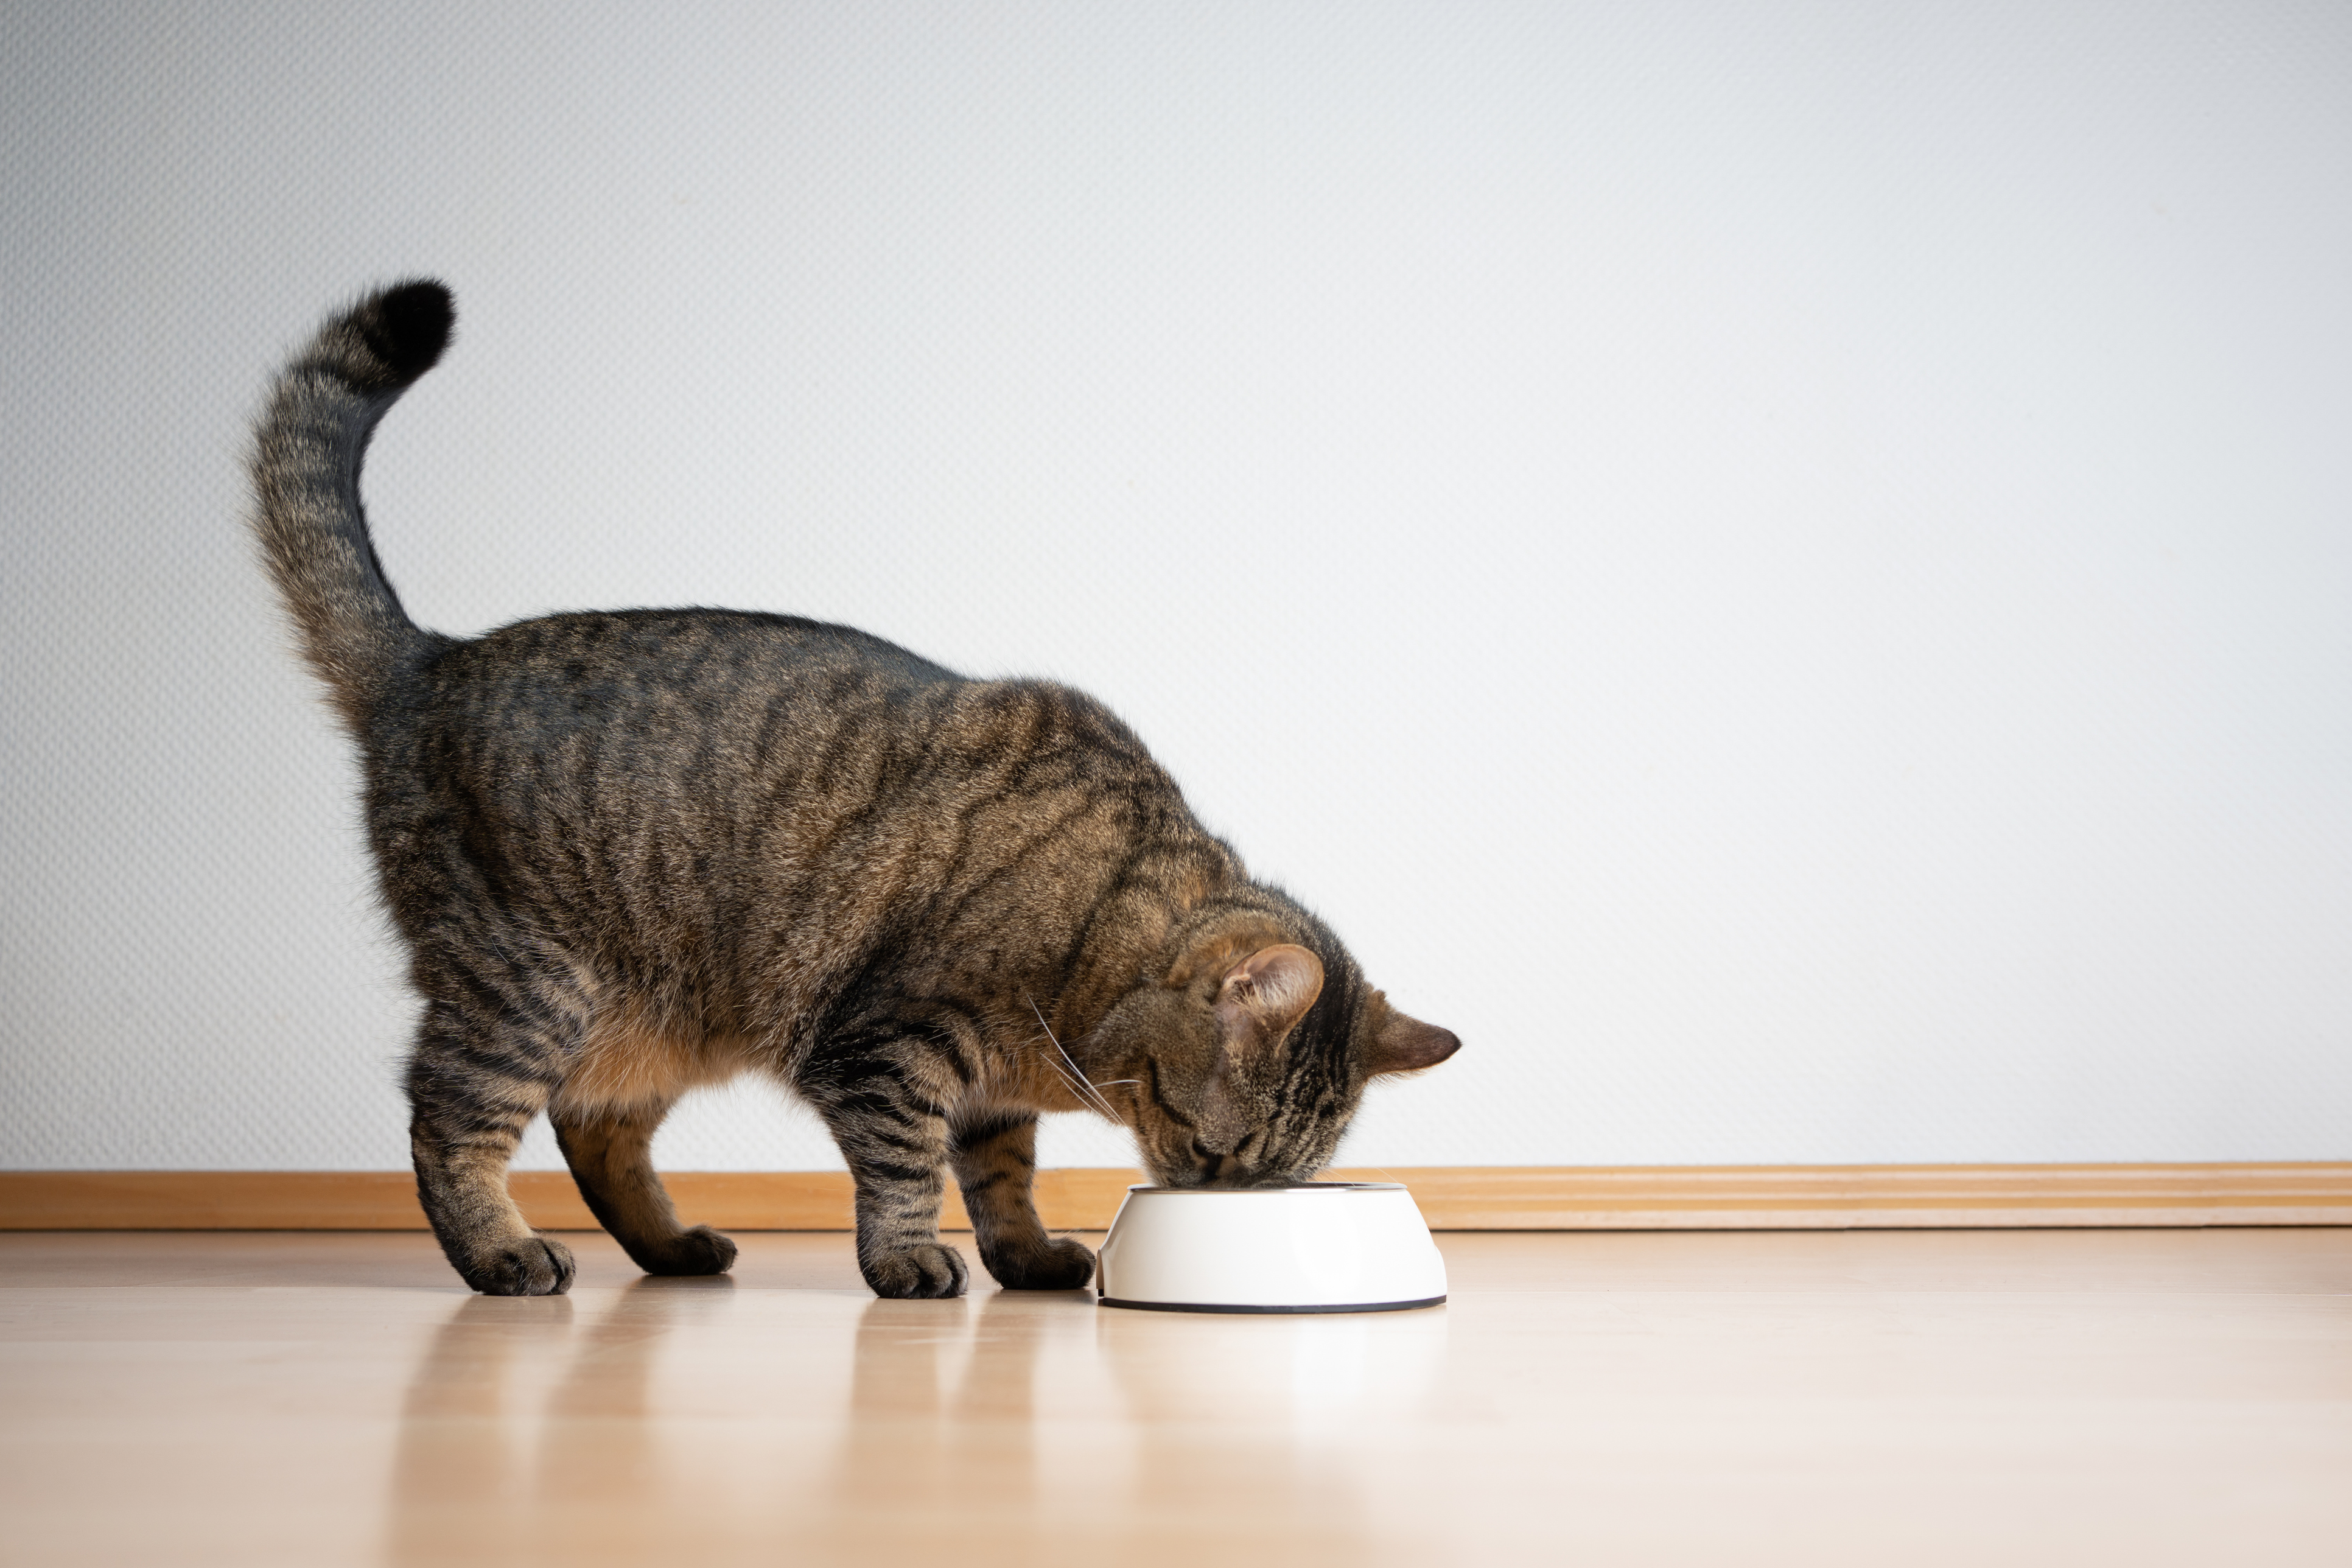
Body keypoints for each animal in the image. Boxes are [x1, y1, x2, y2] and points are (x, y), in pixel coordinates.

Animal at [253, 282, 1449, 1297]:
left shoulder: (991, 1096)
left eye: (1260, 1176)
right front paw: (910, 1262)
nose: (1210, 1201)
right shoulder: (890, 1045)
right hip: (529, 986)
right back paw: (501, 1253)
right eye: (1210, 1150)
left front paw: (1025, 1257)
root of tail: (429, 659)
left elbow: (1003, 1178)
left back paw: (672, 1248)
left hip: (652, 1016)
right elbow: (910, 1164)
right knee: (447, 1119)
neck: (1093, 932)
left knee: (593, 1130)